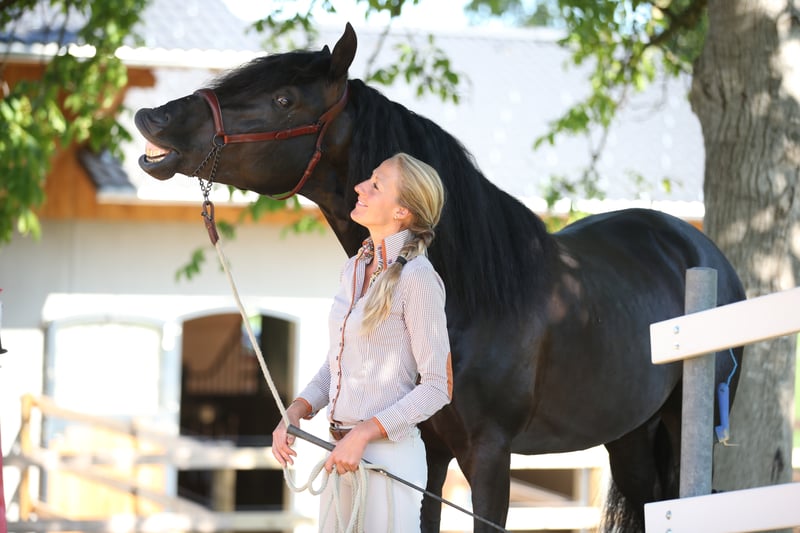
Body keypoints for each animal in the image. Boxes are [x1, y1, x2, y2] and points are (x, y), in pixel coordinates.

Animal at [134, 23, 745, 532]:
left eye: (284, 98)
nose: (154, 119)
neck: (468, 294)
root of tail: (700, 249)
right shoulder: (423, 450)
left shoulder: (489, 456)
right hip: (631, 435)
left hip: (681, 429)